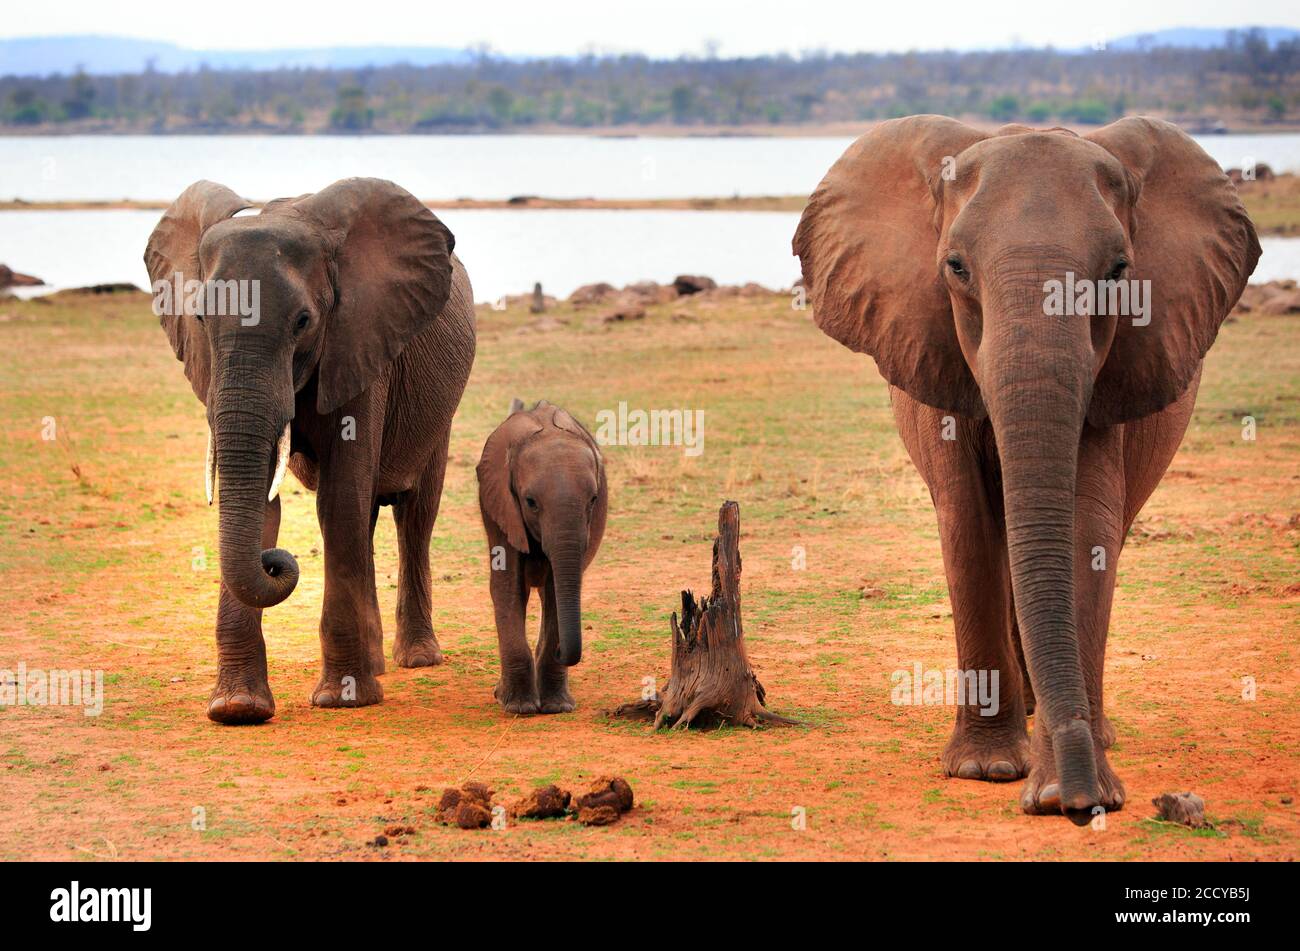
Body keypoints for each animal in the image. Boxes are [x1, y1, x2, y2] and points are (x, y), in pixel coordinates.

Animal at [145, 177, 476, 724]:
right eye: (199, 317)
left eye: (303, 321)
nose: (275, 561)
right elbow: (265, 500)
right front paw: (237, 709)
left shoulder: (359, 341)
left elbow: (340, 497)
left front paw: (344, 700)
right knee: (366, 521)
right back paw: (377, 664)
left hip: (440, 412)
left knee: (413, 515)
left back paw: (417, 659)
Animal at [477, 400, 608, 714]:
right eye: (530, 503)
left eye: (594, 500)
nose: (563, 652)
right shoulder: (500, 507)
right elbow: (506, 586)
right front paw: (519, 708)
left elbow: (555, 592)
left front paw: (557, 707)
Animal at [794, 116, 1259, 822]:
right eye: (955, 267)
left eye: (1120, 271)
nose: (1079, 805)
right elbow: (969, 521)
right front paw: (986, 771)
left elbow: (1087, 530)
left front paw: (1075, 782)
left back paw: (1090, 728)